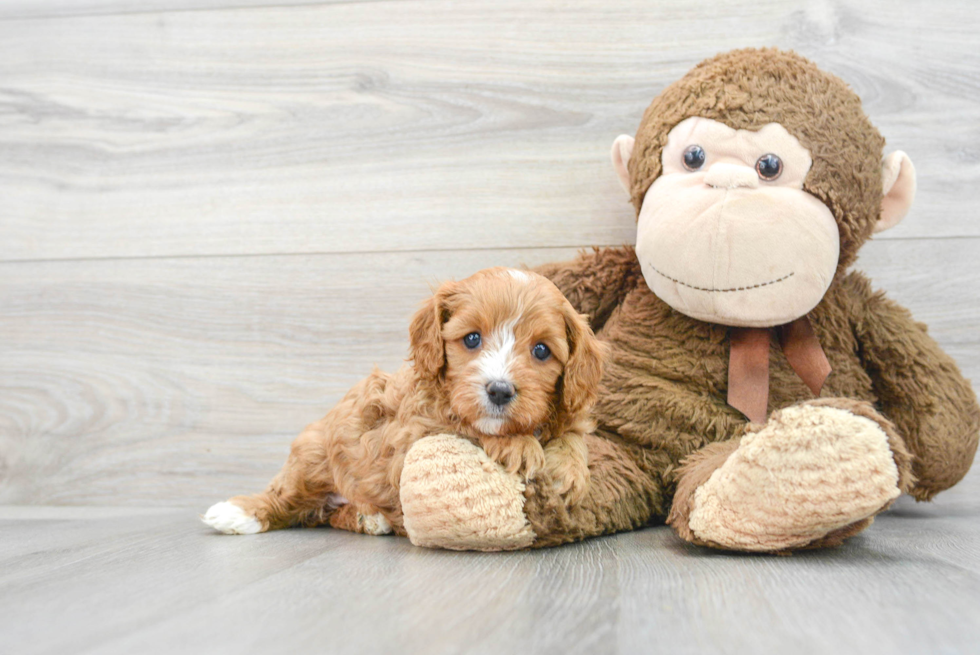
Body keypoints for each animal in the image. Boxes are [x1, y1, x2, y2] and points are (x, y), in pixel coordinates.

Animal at [204, 266, 608, 540]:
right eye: (472, 339)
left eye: (541, 350)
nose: (499, 390)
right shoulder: (411, 438)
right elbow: (463, 424)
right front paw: (518, 445)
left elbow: (573, 435)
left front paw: (569, 470)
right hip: (313, 454)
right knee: (284, 497)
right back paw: (237, 513)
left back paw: (368, 518)